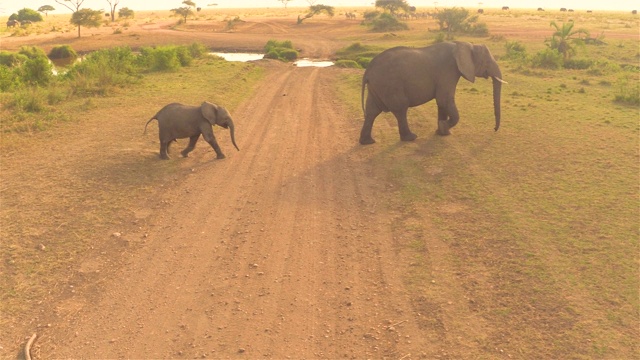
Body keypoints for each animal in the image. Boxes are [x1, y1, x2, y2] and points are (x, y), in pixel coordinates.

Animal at [360, 41, 504, 145]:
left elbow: (442, 103)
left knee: (372, 112)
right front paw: (443, 127)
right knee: (400, 109)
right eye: (487, 61)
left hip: (377, 87)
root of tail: (367, 71)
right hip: (390, 86)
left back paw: (367, 142)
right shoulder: (448, 70)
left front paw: (442, 132)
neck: (465, 45)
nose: (494, 129)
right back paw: (411, 138)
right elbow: (444, 99)